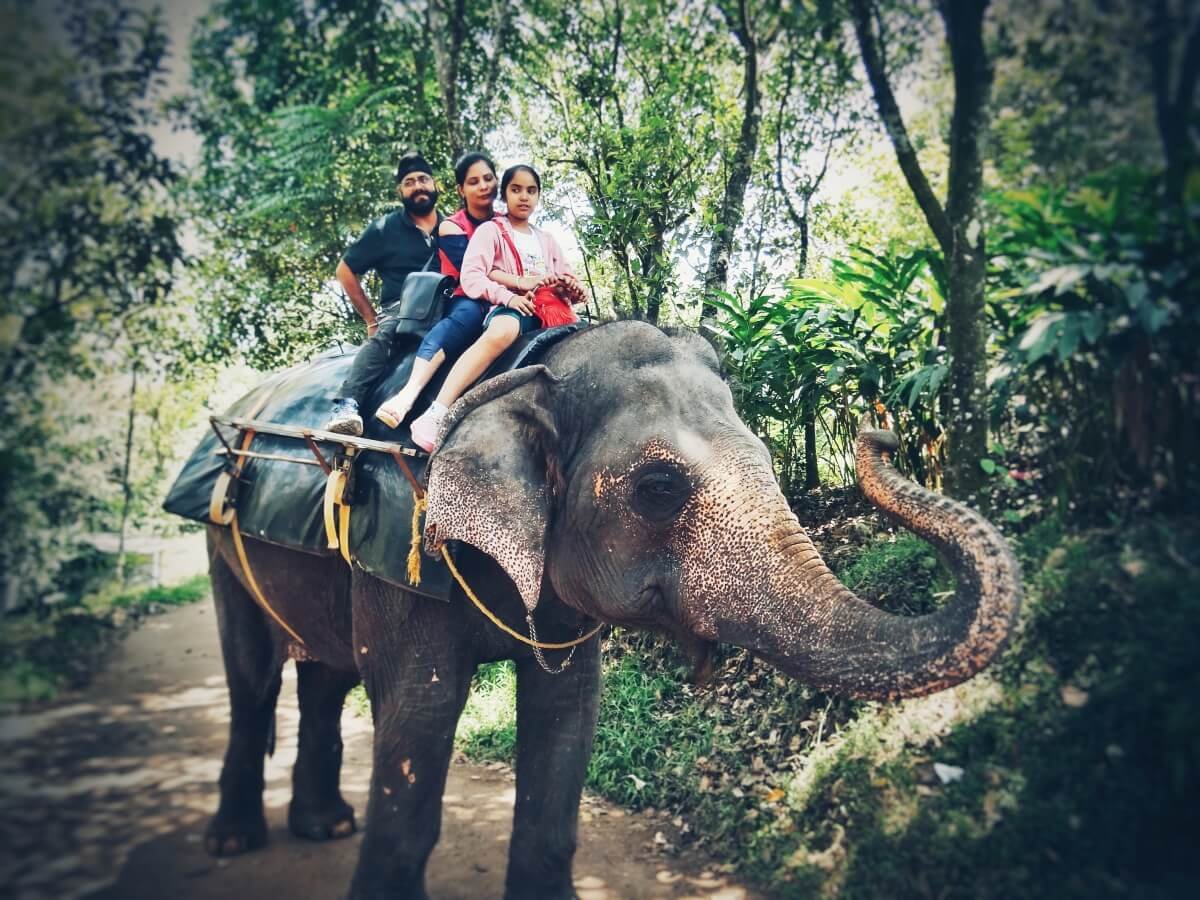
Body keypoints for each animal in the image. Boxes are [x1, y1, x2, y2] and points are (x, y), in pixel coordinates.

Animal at [200, 320, 1021, 900]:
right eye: (659, 487)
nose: (883, 427)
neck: (528, 370)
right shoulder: (404, 556)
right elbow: (418, 713)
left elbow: (568, 710)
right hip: (220, 543)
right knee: (252, 677)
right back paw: (237, 841)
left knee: (321, 674)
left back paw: (325, 824)